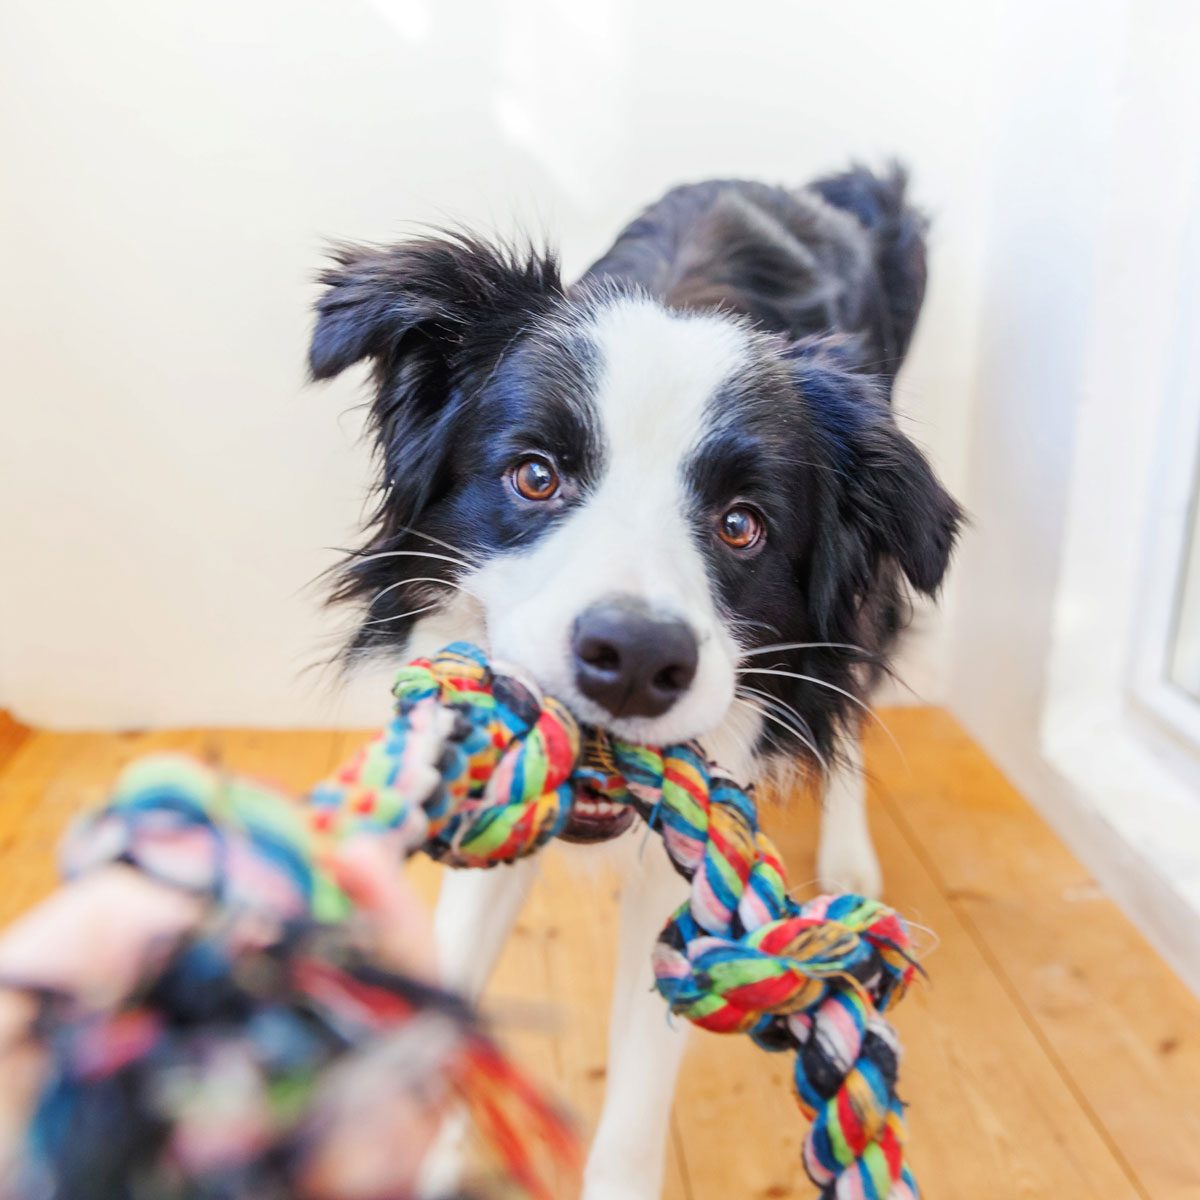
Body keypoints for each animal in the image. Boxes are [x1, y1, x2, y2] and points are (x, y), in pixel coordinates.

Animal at [309, 166, 955, 1200]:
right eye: (535, 476)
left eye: (742, 525)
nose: (636, 659)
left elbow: (640, 1093)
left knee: (851, 703)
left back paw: (850, 849)